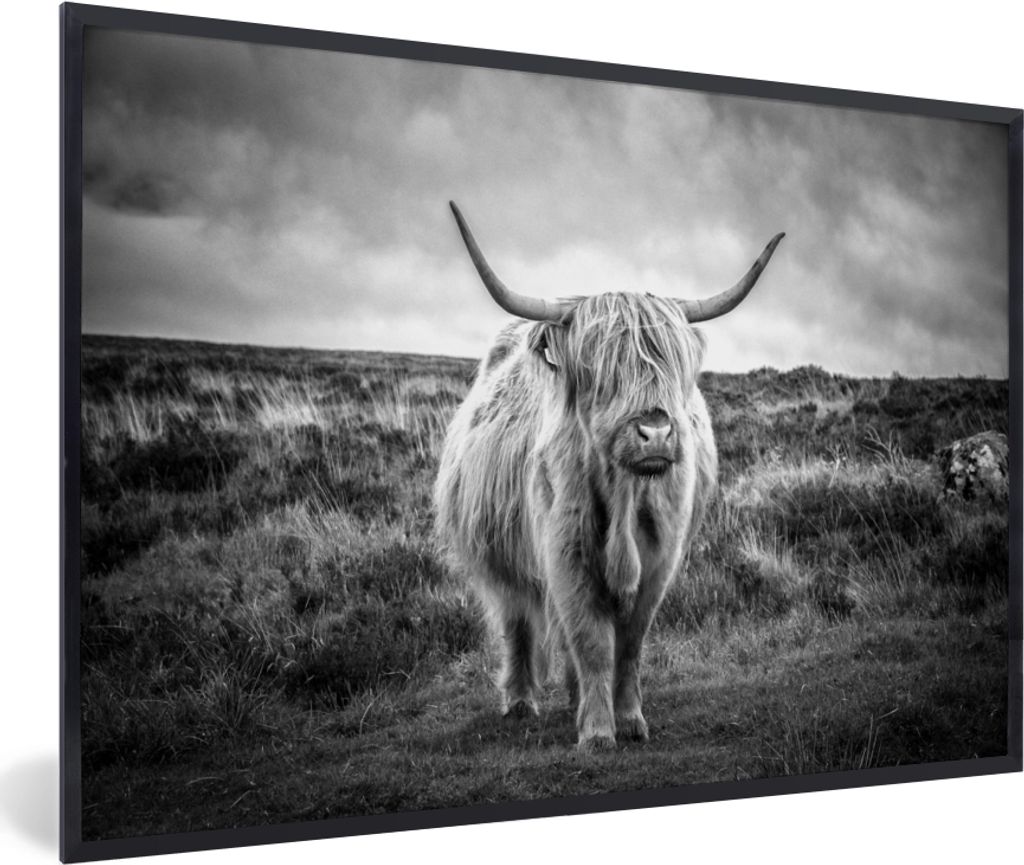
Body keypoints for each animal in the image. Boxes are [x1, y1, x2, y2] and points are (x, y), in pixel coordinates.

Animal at [434, 202, 784, 751]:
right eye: (602, 369)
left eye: (672, 365)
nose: (655, 432)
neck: (624, 495)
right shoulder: (565, 553)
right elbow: (592, 639)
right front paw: (598, 732)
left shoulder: (661, 558)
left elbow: (630, 642)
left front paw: (630, 719)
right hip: (501, 555)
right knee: (518, 620)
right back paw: (520, 702)